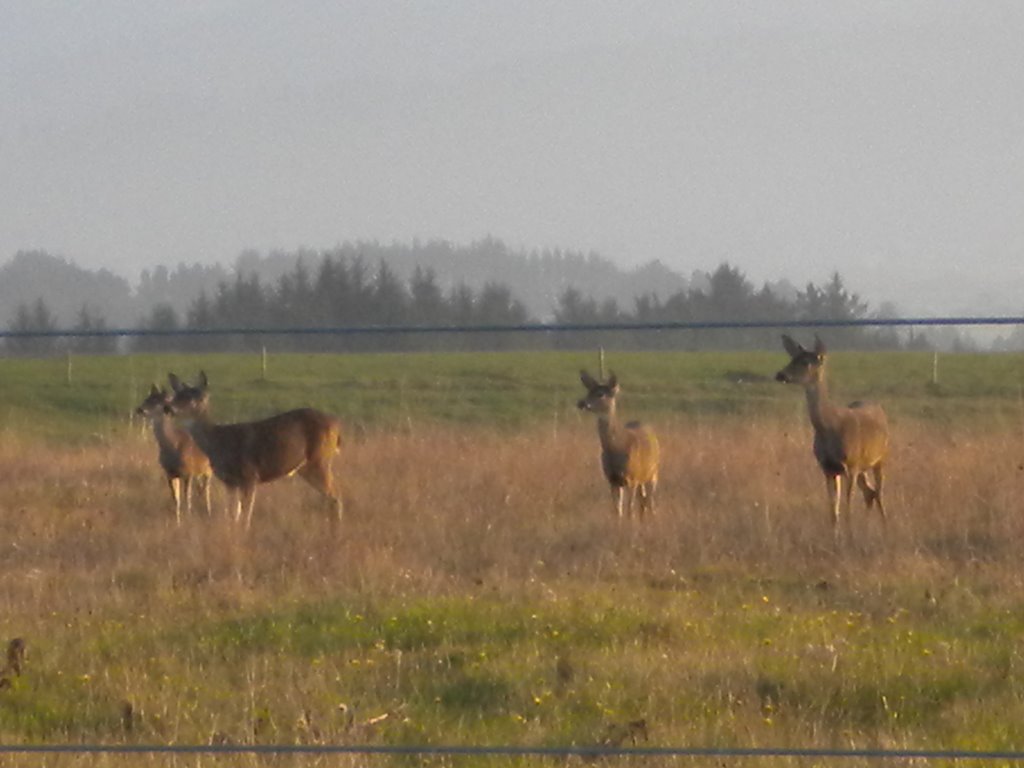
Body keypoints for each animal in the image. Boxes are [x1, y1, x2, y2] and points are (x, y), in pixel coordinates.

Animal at [135, 382, 212, 524]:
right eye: (147, 399)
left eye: (157, 402)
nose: (140, 409)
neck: (173, 446)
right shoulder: (169, 473)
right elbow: (176, 499)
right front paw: (178, 522)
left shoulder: (188, 471)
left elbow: (187, 498)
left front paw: (189, 517)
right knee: (201, 489)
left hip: (208, 470)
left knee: (206, 491)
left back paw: (208, 512)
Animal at [164, 370, 344, 528]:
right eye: (177, 395)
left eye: (196, 398)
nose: (168, 408)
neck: (219, 442)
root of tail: (337, 424)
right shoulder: (230, 482)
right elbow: (233, 514)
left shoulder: (250, 475)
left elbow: (246, 516)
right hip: (306, 467)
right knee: (330, 497)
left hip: (320, 460)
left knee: (336, 496)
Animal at [581, 370, 659, 520]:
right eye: (588, 391)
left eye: (601, 394)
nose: (581, 403)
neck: (617, 447)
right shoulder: (612, 480)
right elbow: (617, 510)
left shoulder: (632, 478)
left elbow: (629, 510)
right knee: (643, 500)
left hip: (653, 473)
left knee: (650, 500)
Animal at [774, 333, 888, 544]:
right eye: (792, 358)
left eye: (805, 362)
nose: (780, 374)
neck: (830, 427)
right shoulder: (827, 468)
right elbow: (833, 509)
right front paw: (835, 538)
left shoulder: (851, 465)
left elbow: (847, 506)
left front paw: (850, 537)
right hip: (863, 467)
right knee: (870, 493)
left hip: (880, 458)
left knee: (879, 492)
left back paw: (885, 527)